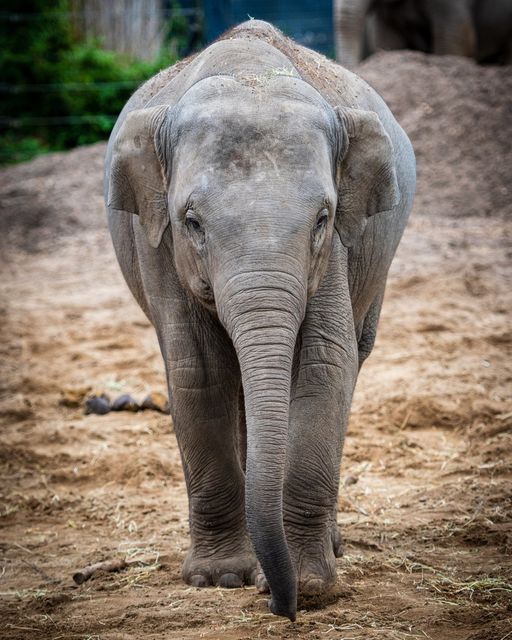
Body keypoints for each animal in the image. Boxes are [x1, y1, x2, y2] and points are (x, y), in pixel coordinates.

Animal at [103, 18, 416, 620]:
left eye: (322, 219)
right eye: (192, 222)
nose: (281, 606)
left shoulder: (335, 252)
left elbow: (325, 365)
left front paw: (312, 585)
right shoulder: (158, 244)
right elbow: (197, 374)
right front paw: (222, 580)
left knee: (355, 354)